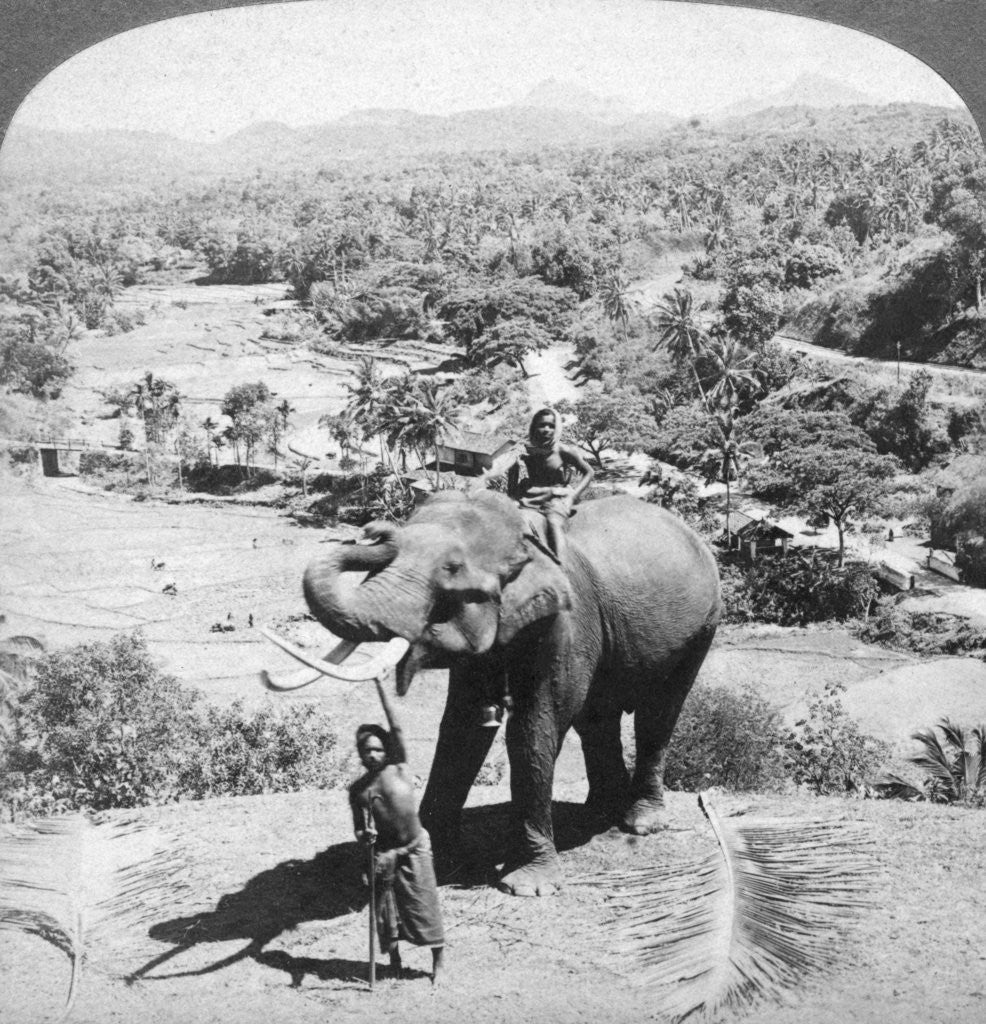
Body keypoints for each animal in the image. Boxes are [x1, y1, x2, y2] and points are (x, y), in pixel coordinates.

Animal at [287, 489, 721, 896]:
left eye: (451, 568)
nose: (374, 530)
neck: (524, 536)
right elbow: (463, 726)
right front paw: (432, 859)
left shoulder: (567, 615)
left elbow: (536, 725)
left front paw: (528, 887)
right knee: (597, 718)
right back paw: (596, 814)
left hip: (702, 627)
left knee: (657, 714)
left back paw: (641, 822)